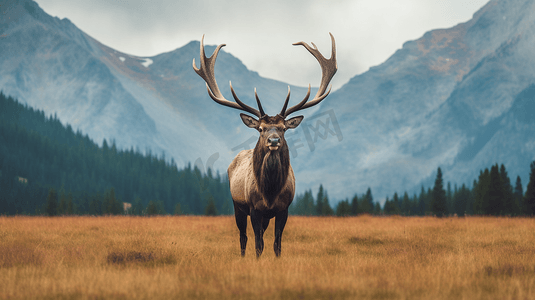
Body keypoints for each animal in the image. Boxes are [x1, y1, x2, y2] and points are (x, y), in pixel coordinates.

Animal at [192, 34, 336, 256]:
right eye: (260, 128)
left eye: (283, 128)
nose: (273, 140)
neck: (270, 193)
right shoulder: (254, 208)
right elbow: (258, 244)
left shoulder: (284, 209)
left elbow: (277, 244)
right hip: (237, 206)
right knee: (243, 238)